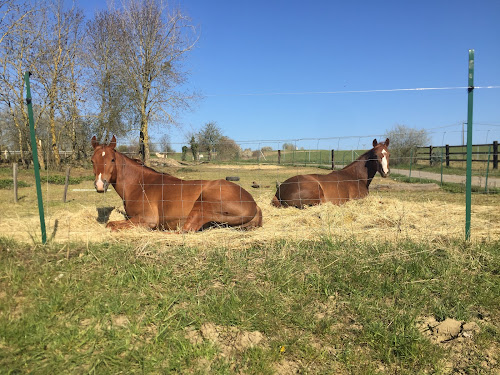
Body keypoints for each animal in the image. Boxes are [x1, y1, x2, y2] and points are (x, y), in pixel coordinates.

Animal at [91, 137, 262, 232]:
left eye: (112, 159)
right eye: (92, 160)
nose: (100, 185)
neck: (141, 185)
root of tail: (254, 204)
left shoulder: (147, 218)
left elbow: (112, 226)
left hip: (203, 206)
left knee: (185, 230)